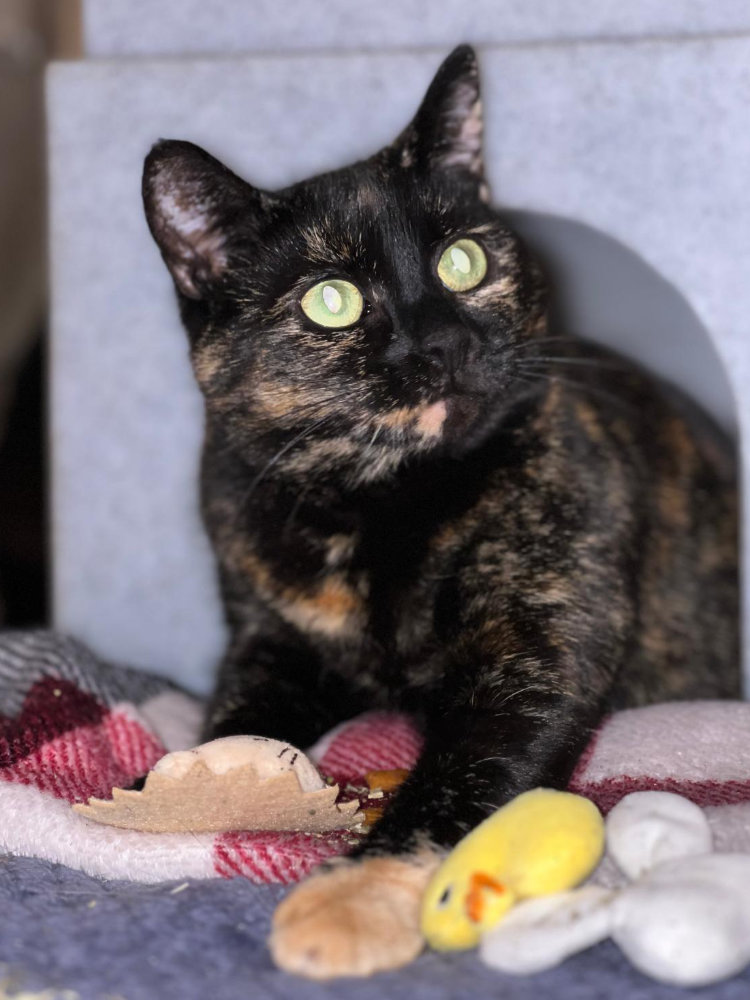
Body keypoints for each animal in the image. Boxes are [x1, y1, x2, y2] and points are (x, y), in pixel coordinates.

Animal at [142, 45, 738, 978]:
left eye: (464, 260)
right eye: (332, 299)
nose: (446, 342)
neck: (386, 504)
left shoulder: (535, 653)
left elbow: (452, 787)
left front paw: (351, 902)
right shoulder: (270, 636)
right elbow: (236, 710)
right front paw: (206, 771)